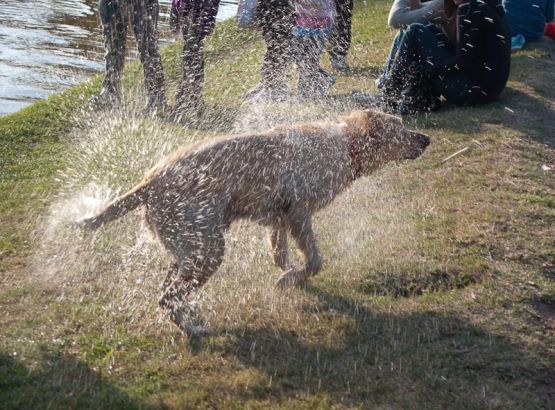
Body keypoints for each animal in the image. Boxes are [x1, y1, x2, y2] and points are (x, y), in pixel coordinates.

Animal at [81, 109, 430, 336]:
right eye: (400, 128)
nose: (426, 138)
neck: (346, 144)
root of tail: (150, 181)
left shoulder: (281, 217)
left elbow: (280, 252)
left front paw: (289, 274)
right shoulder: (299, 212)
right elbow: (314, 260)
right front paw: (290, 279)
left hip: (189, 247)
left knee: (169, 292)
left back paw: (191, 316)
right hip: (208, 249)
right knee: (169, 297)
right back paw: (194, 328)